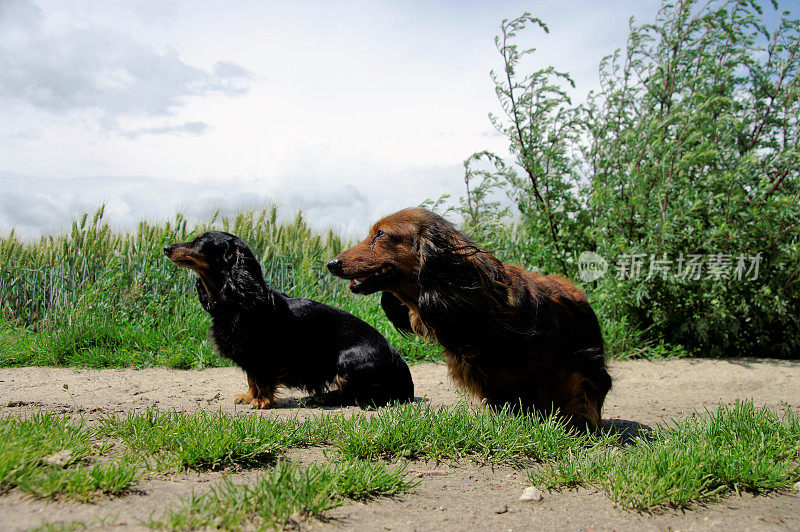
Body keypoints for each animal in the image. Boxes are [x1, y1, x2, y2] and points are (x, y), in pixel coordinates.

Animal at [162, 231, 412, 410]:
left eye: (199, 241)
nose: (165, 247)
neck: (237, 300)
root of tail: (404, 377)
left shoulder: (263, 353)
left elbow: (262, 378)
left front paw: (262, 401)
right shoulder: (249, 356)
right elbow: (251, 378)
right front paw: (249, 396)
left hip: (349, 359)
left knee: (354, 393)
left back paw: (323, 397)